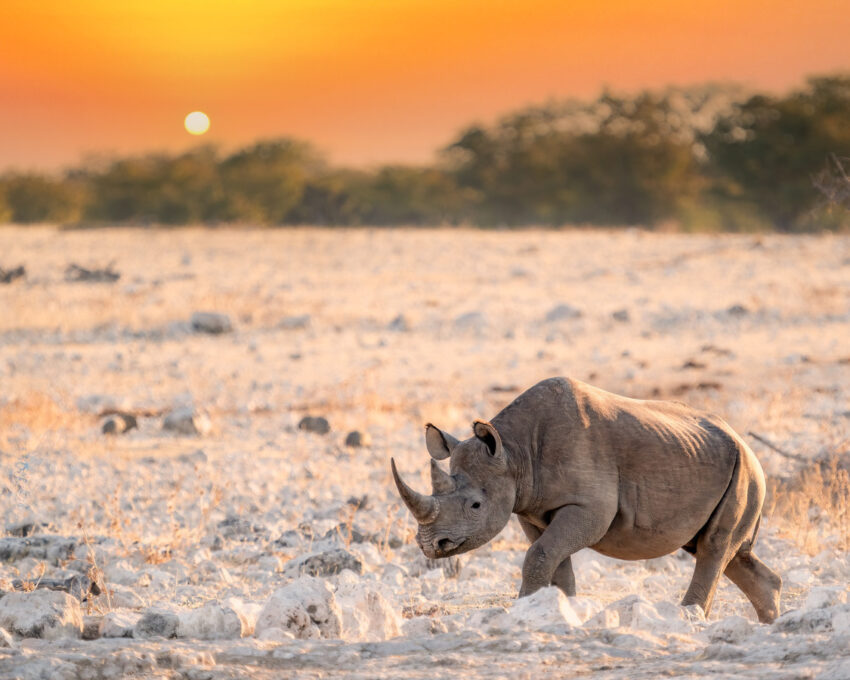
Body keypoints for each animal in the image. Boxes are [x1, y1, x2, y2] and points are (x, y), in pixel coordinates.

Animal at [391, 377, 782, 623]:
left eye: (475, 506)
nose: (430, 545)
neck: (514, 453)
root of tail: (745, 443)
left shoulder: (590, 508)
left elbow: (540, 555)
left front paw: (524, 610)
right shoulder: (531, 511)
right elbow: (553, 560)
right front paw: (562, 610)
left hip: (745, 472)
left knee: (714, 548)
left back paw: (689, 619)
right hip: (721, 466)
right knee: (724, 551)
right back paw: (769, 624)